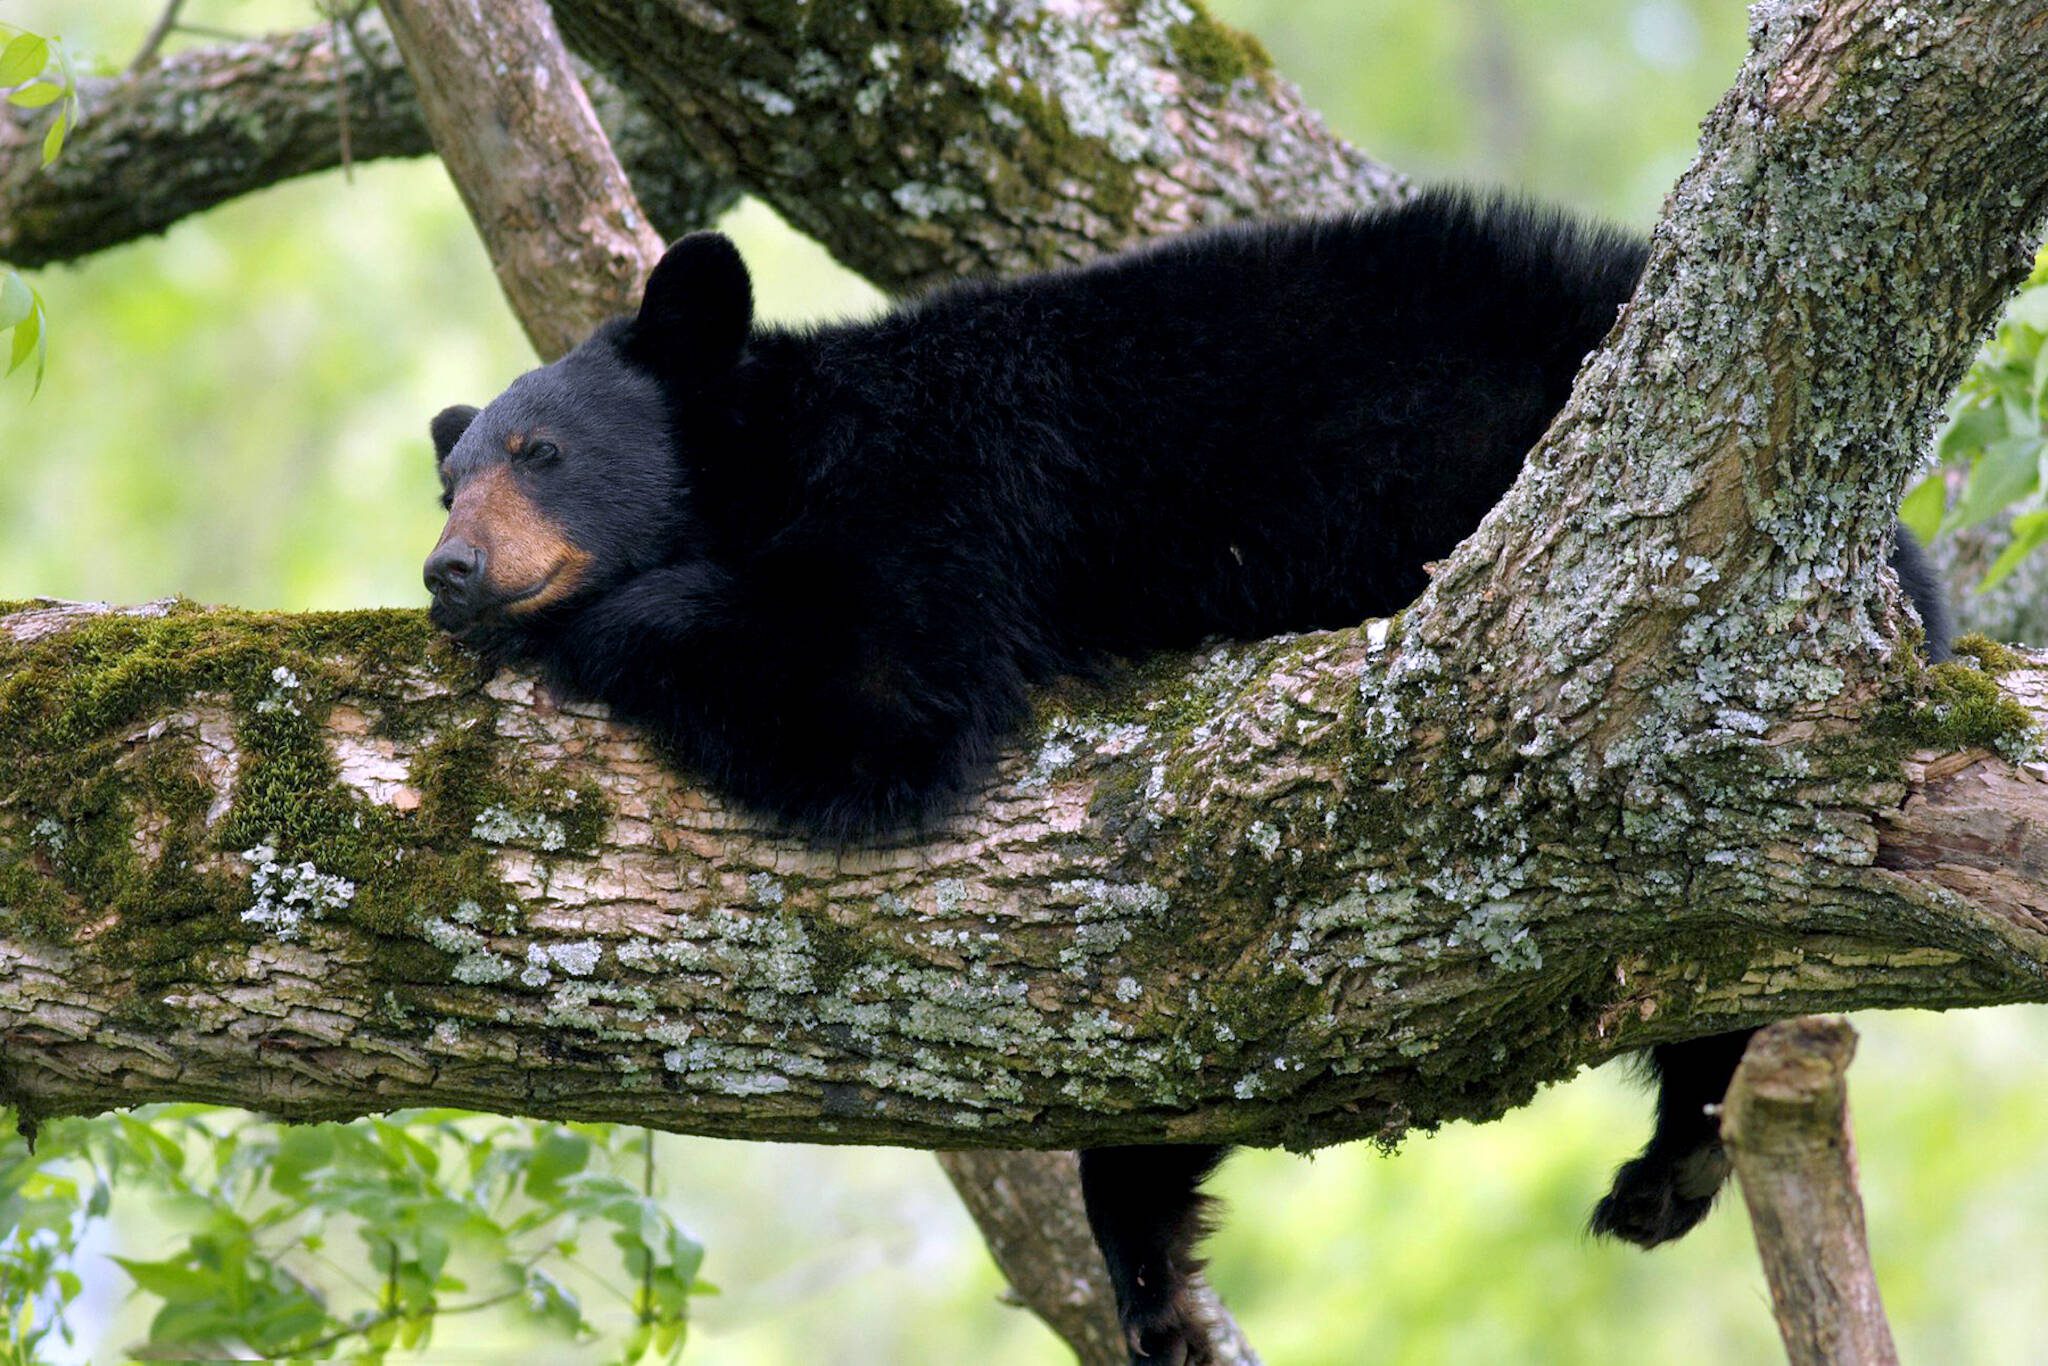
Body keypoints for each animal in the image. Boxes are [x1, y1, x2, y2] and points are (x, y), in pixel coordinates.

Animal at [419, 194, 1949, 1366]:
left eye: (540, 452)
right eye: (451, 479)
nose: (451, 569)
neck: (785, 447)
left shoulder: (948, 490)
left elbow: (883, 699)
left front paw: (581, 621)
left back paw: (1675, 1146)